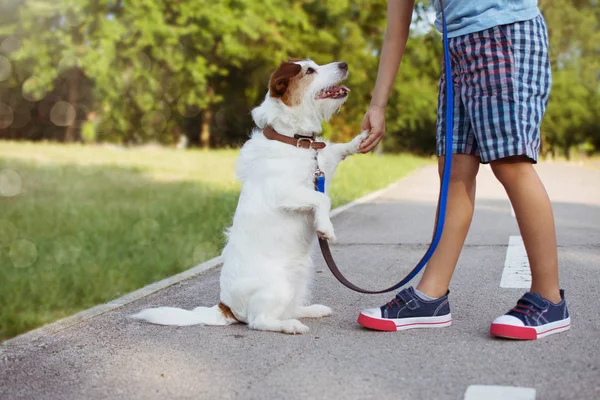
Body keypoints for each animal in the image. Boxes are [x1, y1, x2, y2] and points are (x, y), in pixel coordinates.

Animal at [131, 59, 366, 334]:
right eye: (309, 70)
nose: (344, 64)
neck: (293, 140)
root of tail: (226, 307)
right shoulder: (284, 191)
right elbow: (322, 200)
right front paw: (325, 228)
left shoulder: (322, 165)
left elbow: (336, 150)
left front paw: (362, 140)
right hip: (279, 286)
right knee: (259, 321)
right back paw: (290, 326)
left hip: (300, 278)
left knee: (287, 309)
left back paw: (311, 311)